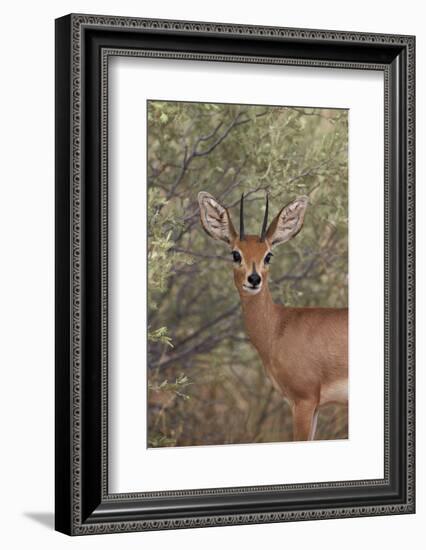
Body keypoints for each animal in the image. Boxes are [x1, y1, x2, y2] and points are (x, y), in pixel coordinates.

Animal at [198, 192, 348, 442]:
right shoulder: (311, 405)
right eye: (235, 253)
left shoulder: (304, 400)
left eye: (268, 255)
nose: (254, 279)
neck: (279, 327)